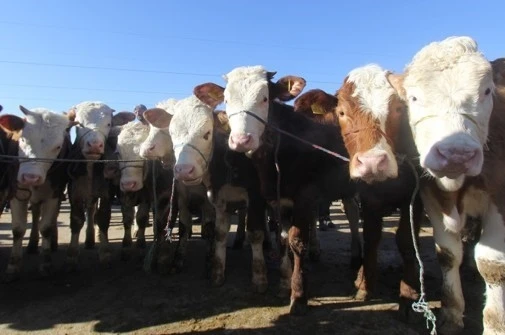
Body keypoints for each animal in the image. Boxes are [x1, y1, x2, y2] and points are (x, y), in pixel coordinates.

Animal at [194, 67, 358, 316]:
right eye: (226, 99)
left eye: (265, 98)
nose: (241, 140)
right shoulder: (277, 200)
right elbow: (283, 240)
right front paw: (283, 283)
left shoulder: (303, 196)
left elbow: (296, 241)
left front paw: (297, 295)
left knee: (354, 218)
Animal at [294, 62, 424, 320]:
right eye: (342, 113)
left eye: (398, 108)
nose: (373, 162)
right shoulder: (369, 197)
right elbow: (371, 236)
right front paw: (365, 285)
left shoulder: (416, 198)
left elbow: (406, 242)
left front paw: (408, 294)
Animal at [386, 35, 500, 334]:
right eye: (413, 98)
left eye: (487, 91)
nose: (456, 153)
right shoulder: (432, 195)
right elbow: (447, 253)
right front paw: (451, 313)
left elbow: (492, 265)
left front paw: (495, 325)